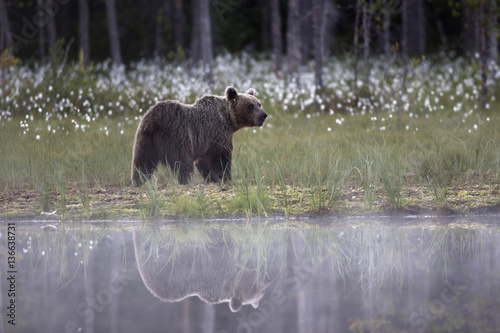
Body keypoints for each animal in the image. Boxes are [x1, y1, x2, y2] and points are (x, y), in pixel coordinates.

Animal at [131, 85, 268, 185]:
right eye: (250, 106)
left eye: (259, 103)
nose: (264, 115)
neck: (229, 120)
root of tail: (154, 120)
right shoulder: (217, 133)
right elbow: (221, 158)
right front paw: (225, 178)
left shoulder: (206, 141)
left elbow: (204, 161)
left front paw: (212, 178)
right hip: (177, 135)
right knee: (183, 162)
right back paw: (187, 181)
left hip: (144, 138)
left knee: (142, 162)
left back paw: (138, 181)